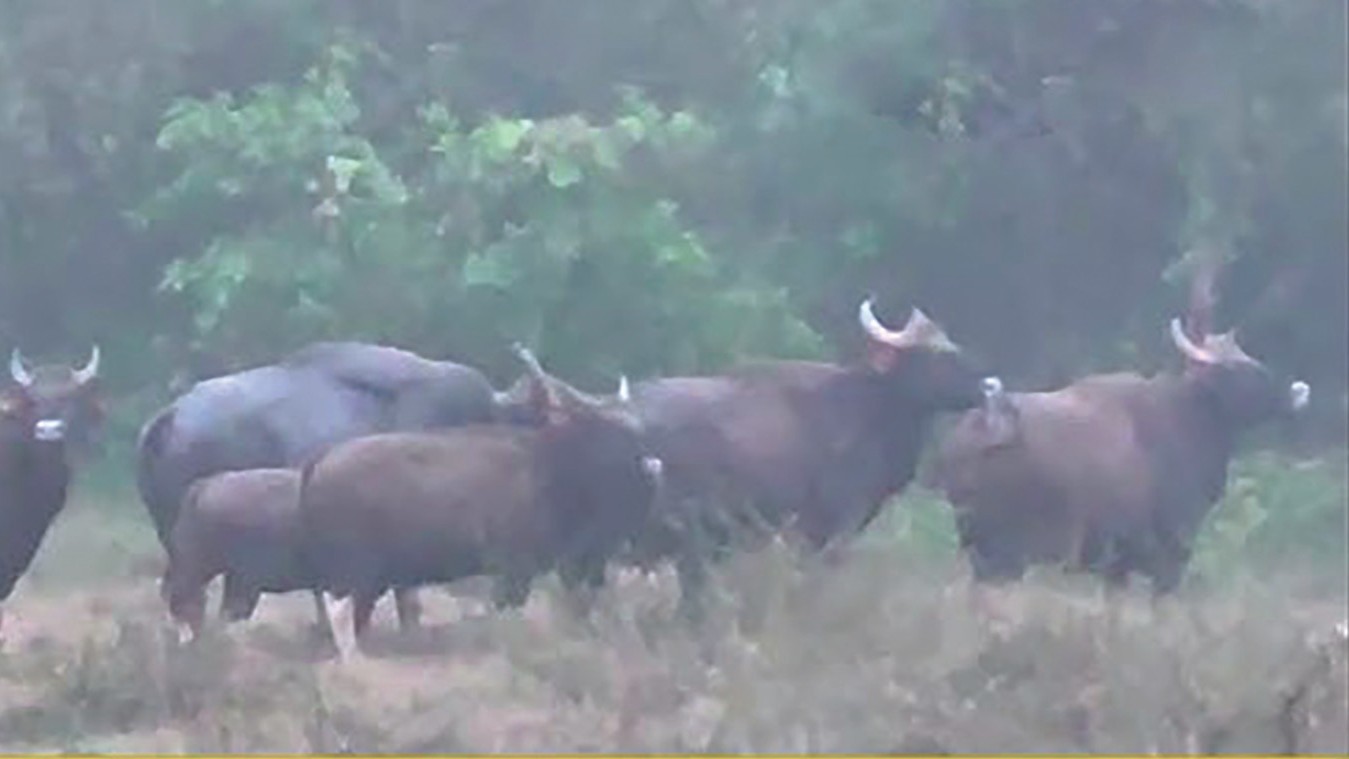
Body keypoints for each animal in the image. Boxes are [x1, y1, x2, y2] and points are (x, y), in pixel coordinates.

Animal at [297, 345, 662, 660]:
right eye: (607, 428)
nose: (651, 468)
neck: (546, 464)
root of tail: (319, 464)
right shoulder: (514, 568)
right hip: (355, 574)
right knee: (342, 616)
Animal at [927, 317, 1311, 593]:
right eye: (1243, 371)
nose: (1297, 392)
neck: (1188, 419)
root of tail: (969, 435)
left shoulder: (1117, 569)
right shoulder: (1169, 554)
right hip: (1004, 557)